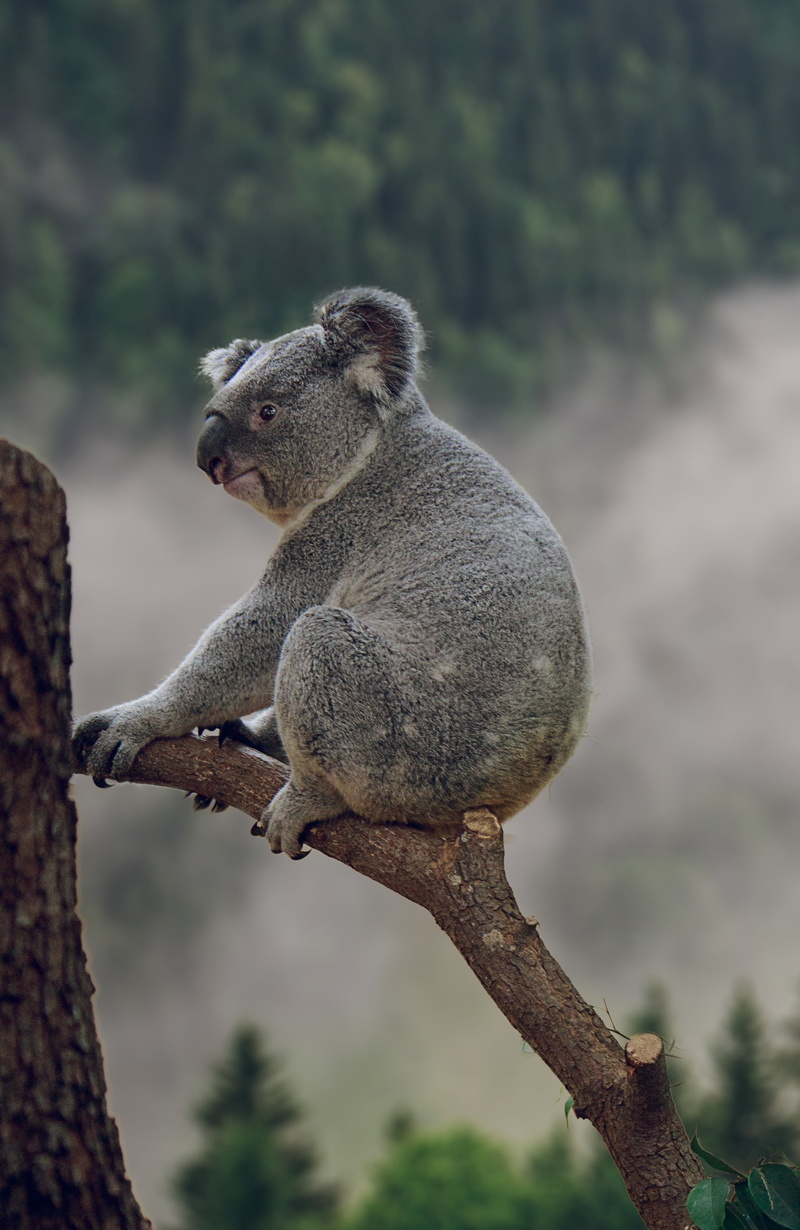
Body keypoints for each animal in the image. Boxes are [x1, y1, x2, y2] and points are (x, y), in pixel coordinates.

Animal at [72, 288, 592, 858]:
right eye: (212, 410)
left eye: (267, 411)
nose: (208, 460)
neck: (367, 452)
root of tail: (493, 802)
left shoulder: (338, 533)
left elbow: (263, 631)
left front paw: (133, 721)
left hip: (408, 743)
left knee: (316, 647)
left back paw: (303, 799)